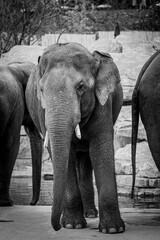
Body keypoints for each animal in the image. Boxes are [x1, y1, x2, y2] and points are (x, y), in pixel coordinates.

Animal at [25, 42, 125, 233]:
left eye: (80, 87)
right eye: (41, 89)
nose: (56, 227)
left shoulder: (103, 104)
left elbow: (101, 149)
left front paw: (113, 229)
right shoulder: (42, 111)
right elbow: (67, 156)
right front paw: (72, 225)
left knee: (86, 160)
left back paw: (91, 214)